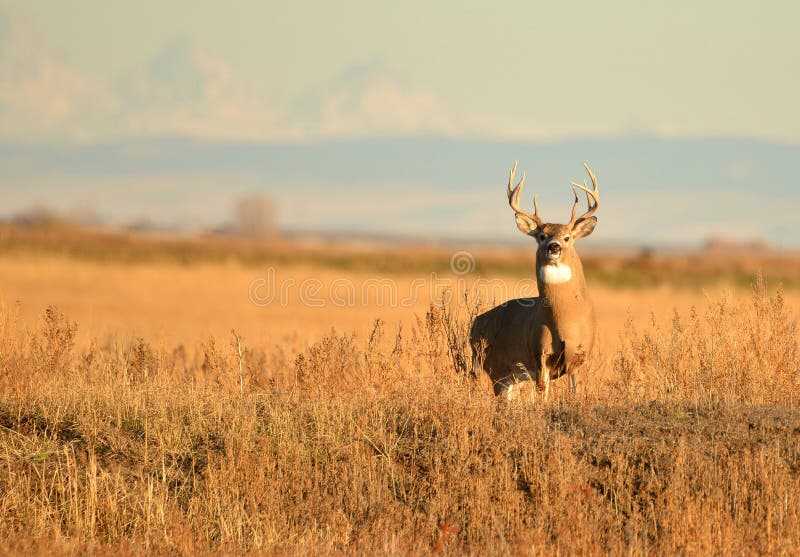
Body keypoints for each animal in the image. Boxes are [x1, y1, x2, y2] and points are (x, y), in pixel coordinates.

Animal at [468, 163, 600, 398]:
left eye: (567, 237)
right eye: (541, 236)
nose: (554, 247)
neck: (565, 320)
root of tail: (474, 323)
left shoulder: (579, 358)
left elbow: (575, 393)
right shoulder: (540, 354)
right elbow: (542, 395)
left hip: (508, 375)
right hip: (486, 366)